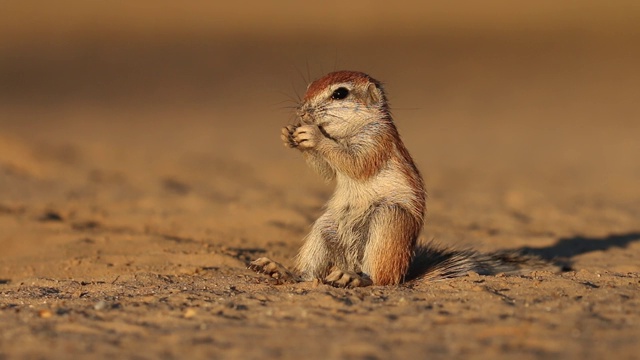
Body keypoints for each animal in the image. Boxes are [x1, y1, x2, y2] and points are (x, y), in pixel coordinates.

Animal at [250, 71, 544, 288]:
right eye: (310, 86)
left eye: (340, 93)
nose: (303, 112)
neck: (352, 128)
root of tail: (405, 275)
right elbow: (327, 171)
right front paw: (288, 134)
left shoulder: (376, 142)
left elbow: (355, 163)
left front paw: (313, 136)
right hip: (327, 227)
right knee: (313, 274)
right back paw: (282, 271)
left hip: (390, 219)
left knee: (381, 279)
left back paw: (353, 277)